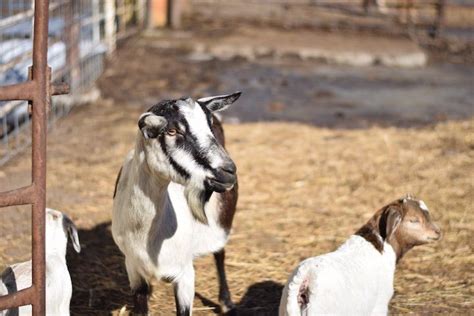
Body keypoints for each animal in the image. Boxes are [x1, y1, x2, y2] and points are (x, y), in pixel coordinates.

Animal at [112, 92, 241, 314]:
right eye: (171, 131)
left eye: (209, 127)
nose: (228, 171)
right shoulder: (133, 268)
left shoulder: (185, 275)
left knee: (220, 252)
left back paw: (226, 302)